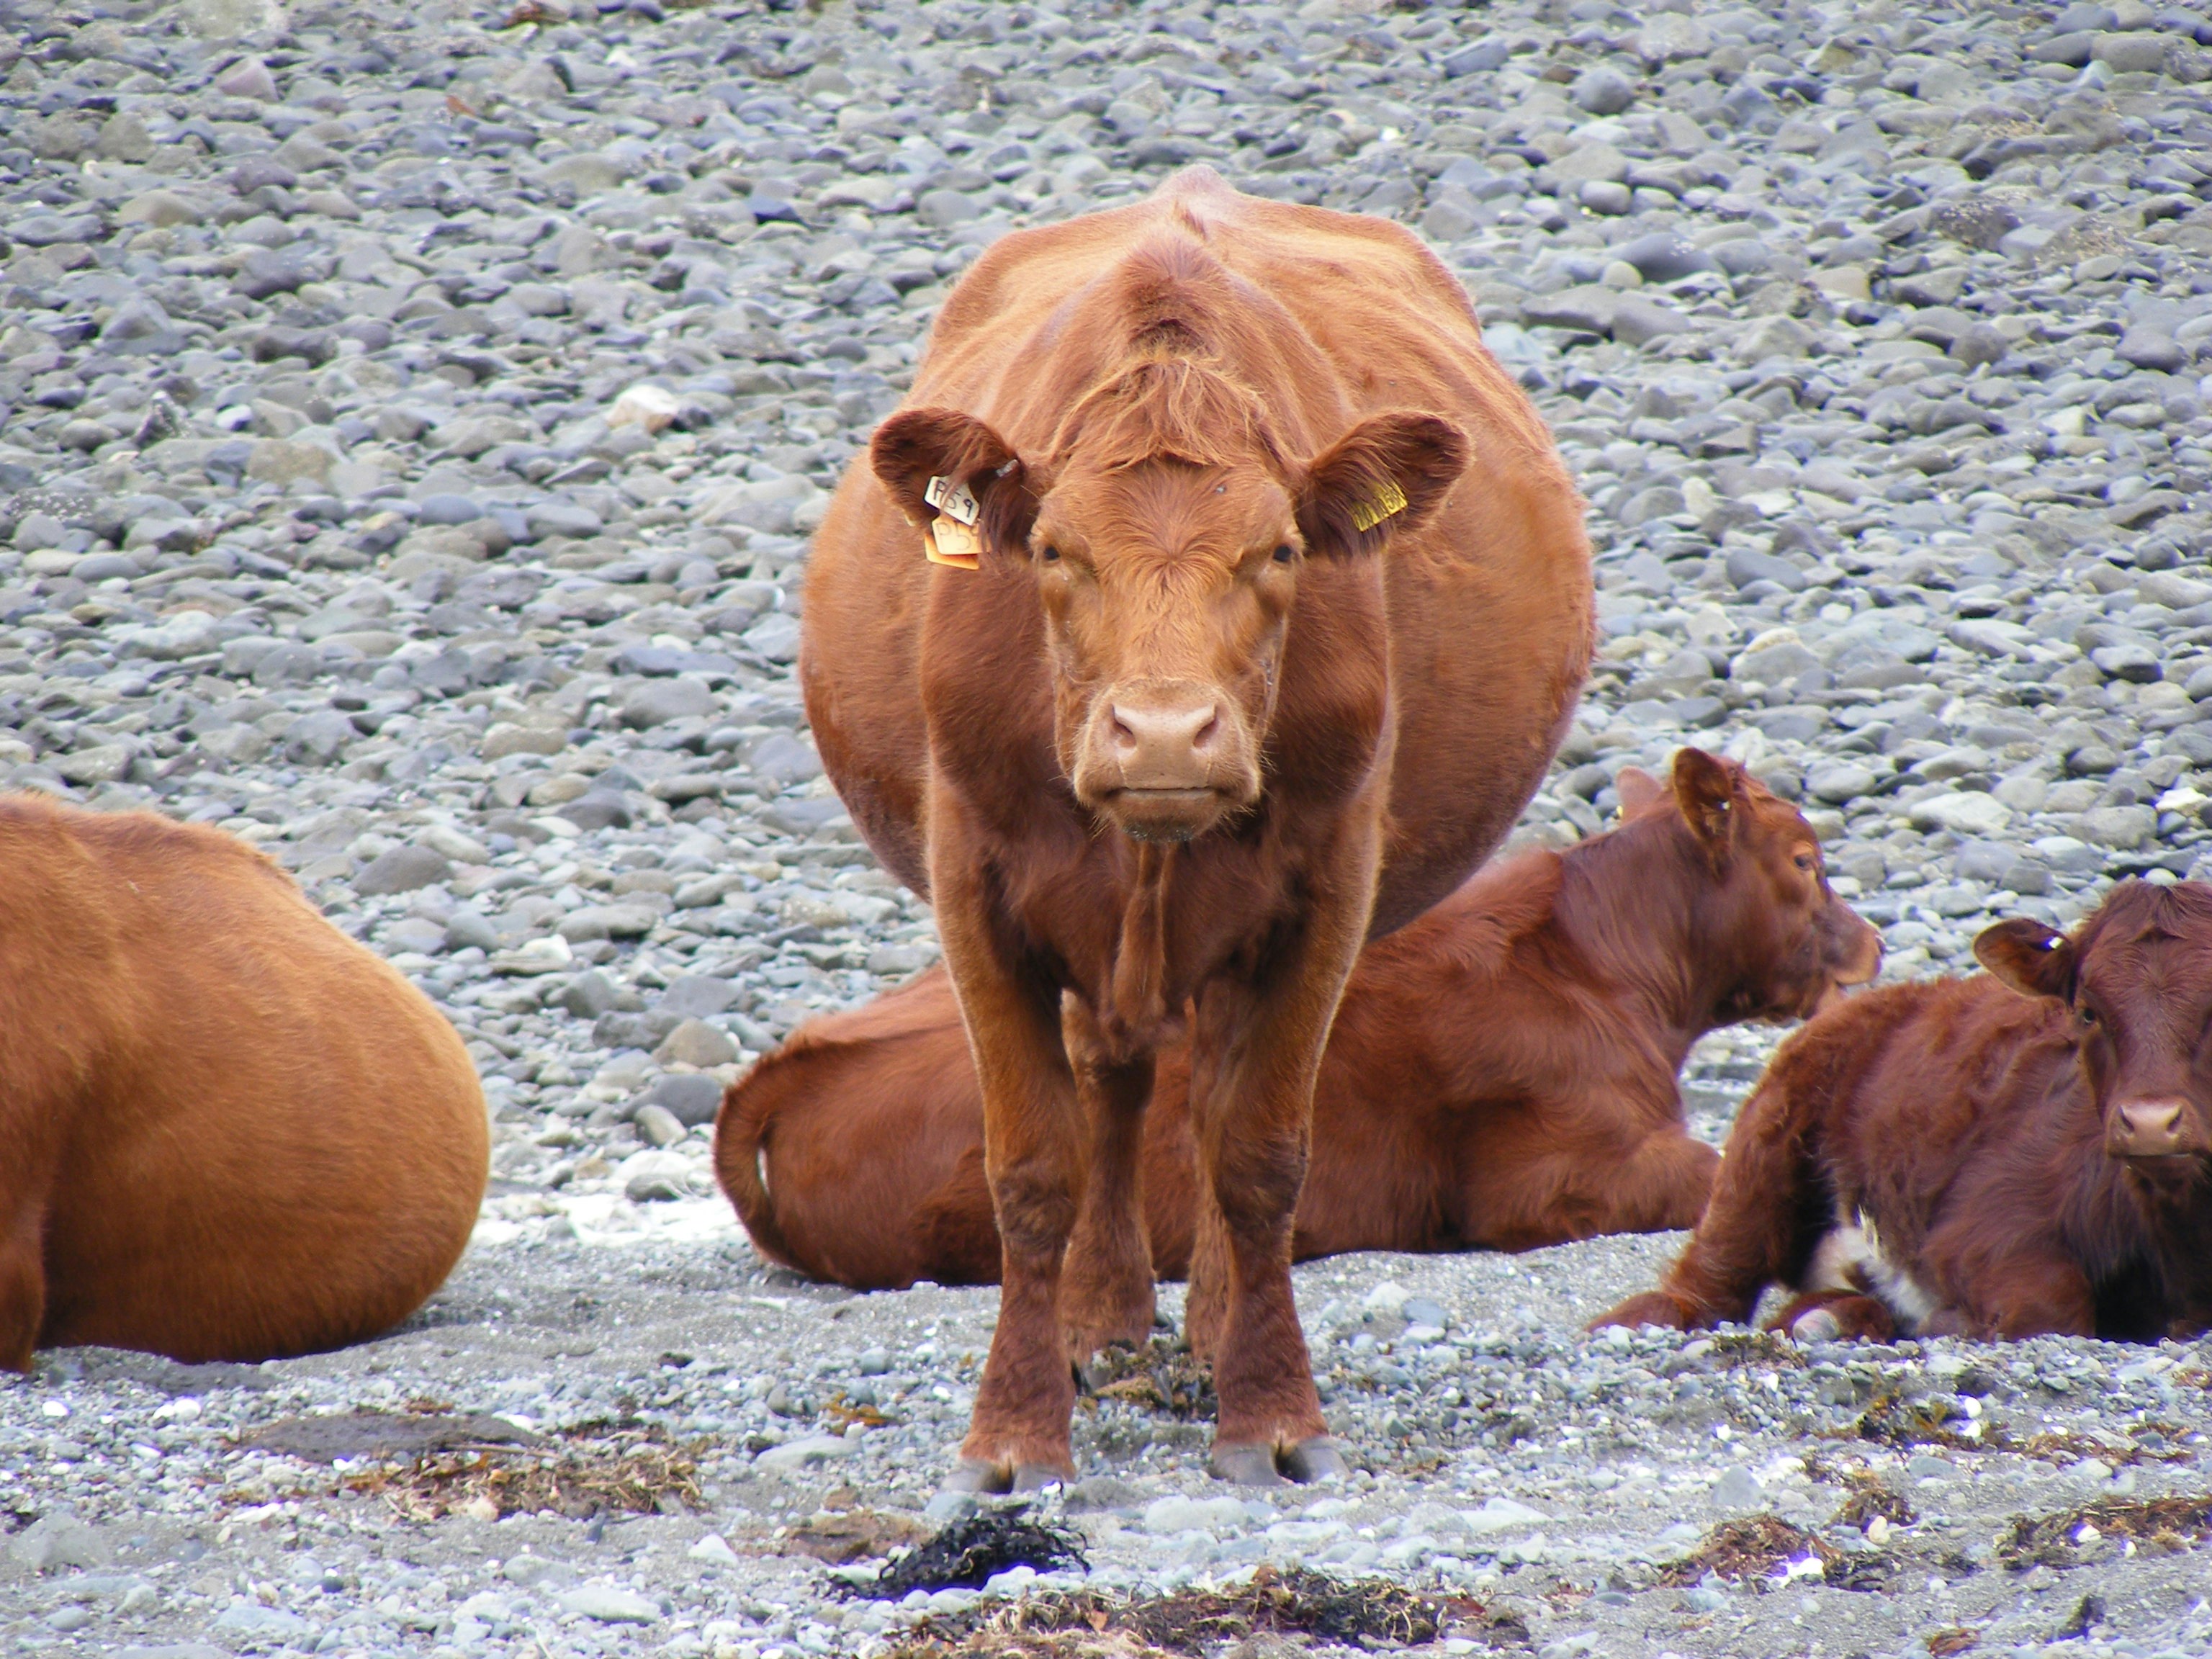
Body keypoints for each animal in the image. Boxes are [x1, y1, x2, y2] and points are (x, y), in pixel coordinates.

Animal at [718, 748, 1879, 1291]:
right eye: (1806, 859)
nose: (1872, 943)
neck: (1605, 964)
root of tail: (794, 1058)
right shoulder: (1554, 1169)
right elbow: (1714, 1169)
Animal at [800, 168, 1594, 1487]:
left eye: (1280, 550)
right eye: (1052, 549)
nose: (1166, 736)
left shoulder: (1329, 888)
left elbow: (1260, 1156)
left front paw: (1269, 1414)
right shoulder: (976, 889)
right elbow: (1033, 1167)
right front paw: (1013, 1432)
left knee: (1215, 1092)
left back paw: (1215, 1324)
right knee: (1114, 1080)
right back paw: (1100, 1317)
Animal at [1594, 879, 2212, 1345]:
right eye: (2087, 1012)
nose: (2150, 1123)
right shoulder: (1982, 1223)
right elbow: (2050, 1307)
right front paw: (1953, 1321)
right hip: (1762, 1149)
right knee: (1708, 1286)